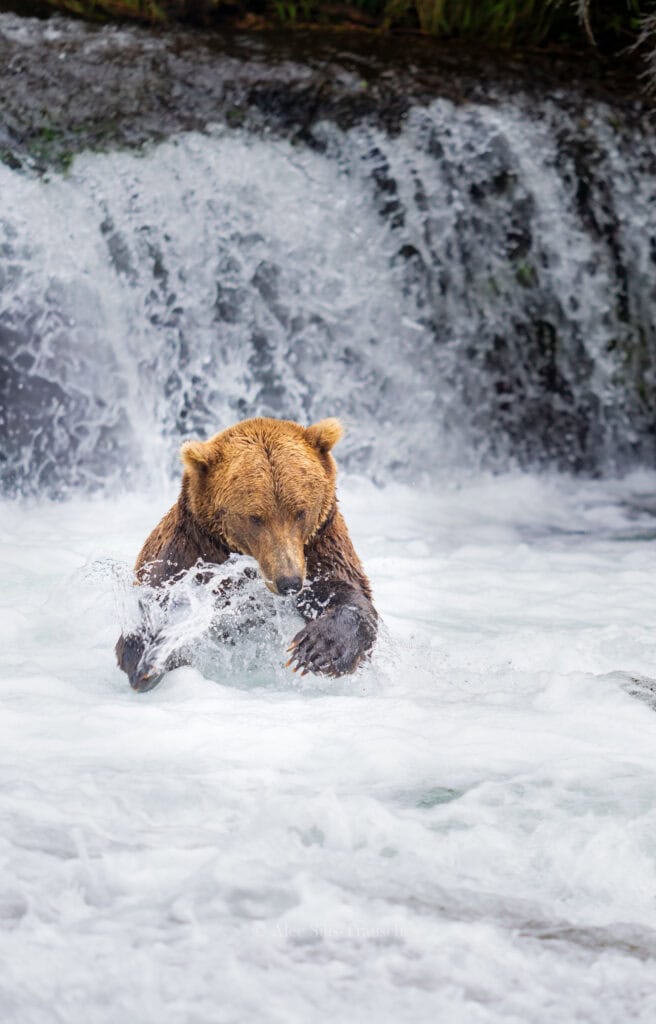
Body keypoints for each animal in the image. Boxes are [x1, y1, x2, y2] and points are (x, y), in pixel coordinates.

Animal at [116, 416, 378, 691]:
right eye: (255, 517)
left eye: (300, 511)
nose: (289, 582)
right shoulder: (183, 556)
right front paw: (151, 658)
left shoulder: (320, 547)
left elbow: (346, 592)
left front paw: (318, 649)